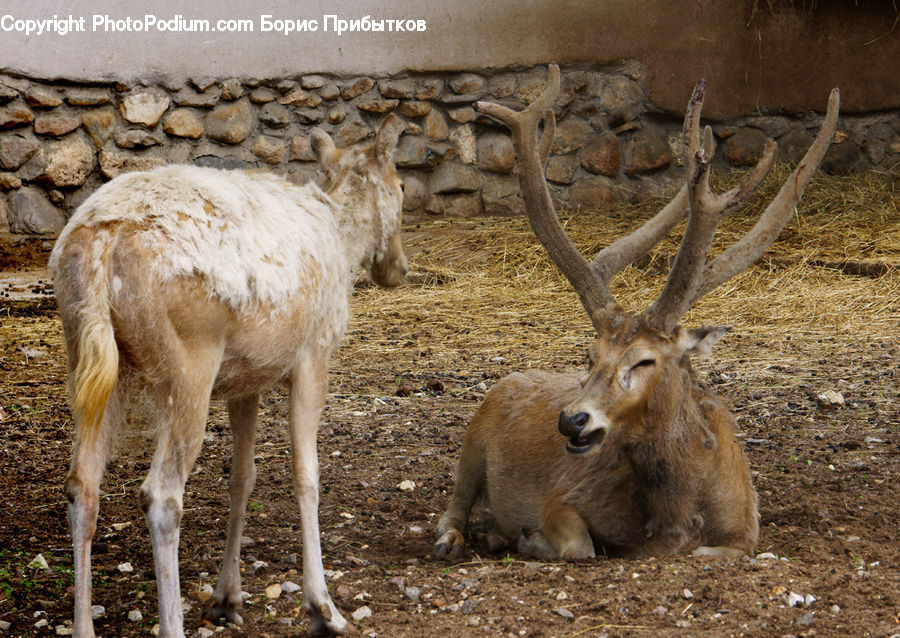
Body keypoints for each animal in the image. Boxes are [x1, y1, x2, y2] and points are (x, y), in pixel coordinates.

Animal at [49, 114, 406, 637]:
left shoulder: (246, 380)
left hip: (90, 359)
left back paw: (83, 626)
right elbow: (307, 476)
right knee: (161, 495)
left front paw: (227, 597)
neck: (343, 246)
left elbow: (243, 477)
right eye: (402, 187)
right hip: (188, 364)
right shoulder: (313, 354)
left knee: (81, 485)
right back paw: (172, 624)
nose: (397, 269)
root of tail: (99, 245)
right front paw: (323, 607)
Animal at [434, 65, 839, 561]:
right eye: (590, 356)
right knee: (454, 504)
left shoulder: (745, 531)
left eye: (645, 360)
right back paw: (461, 537)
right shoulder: (564, 495)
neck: (677, 519)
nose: (571, 420)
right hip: (473, 438)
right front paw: (530, 538)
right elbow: (580, 546)